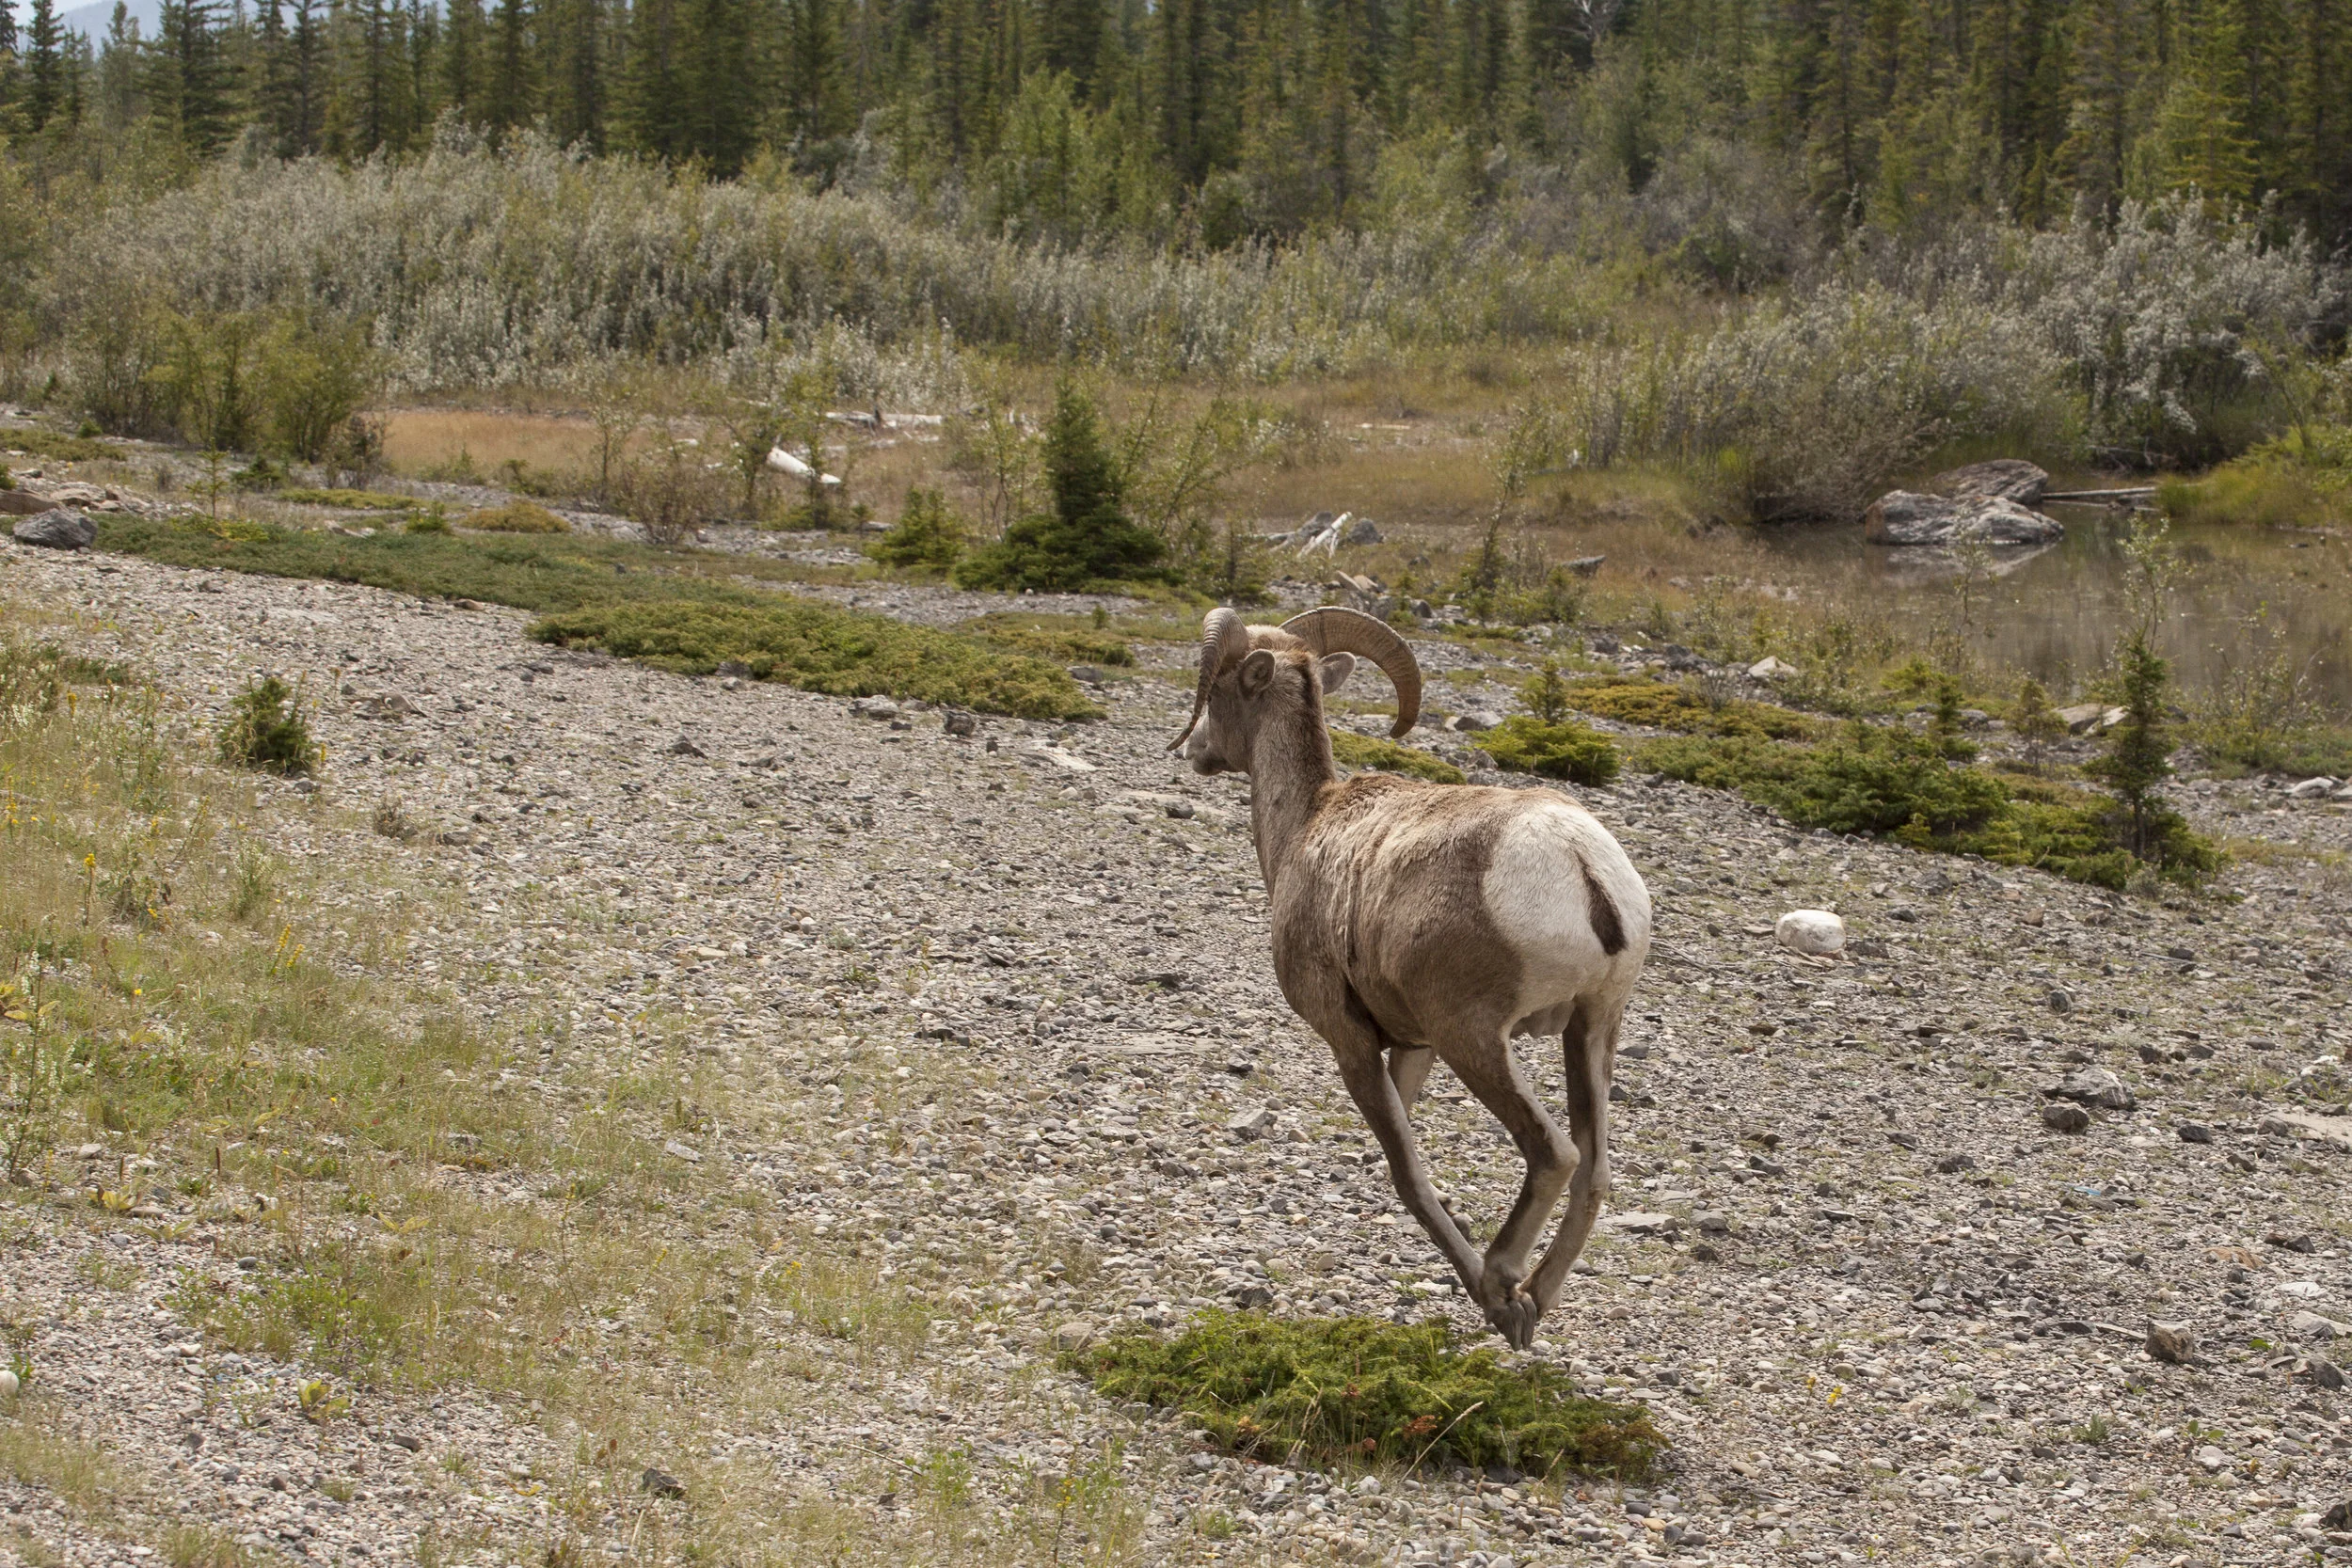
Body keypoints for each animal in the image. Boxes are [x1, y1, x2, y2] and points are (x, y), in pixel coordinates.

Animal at [1171, 606, 1651, 1349]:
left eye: (1219, 685)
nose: (1195, 749)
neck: (1306, 823)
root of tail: (1580, 864)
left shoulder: (1351, 1039)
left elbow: (1406, 1172)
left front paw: (1484, 1289)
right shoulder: (1414, 1047)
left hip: (1475, 1039)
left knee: (1554, 1154)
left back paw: (1503, 1289)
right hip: (1593, 1028)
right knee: (1594, 1173)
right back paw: (1536, 1297)